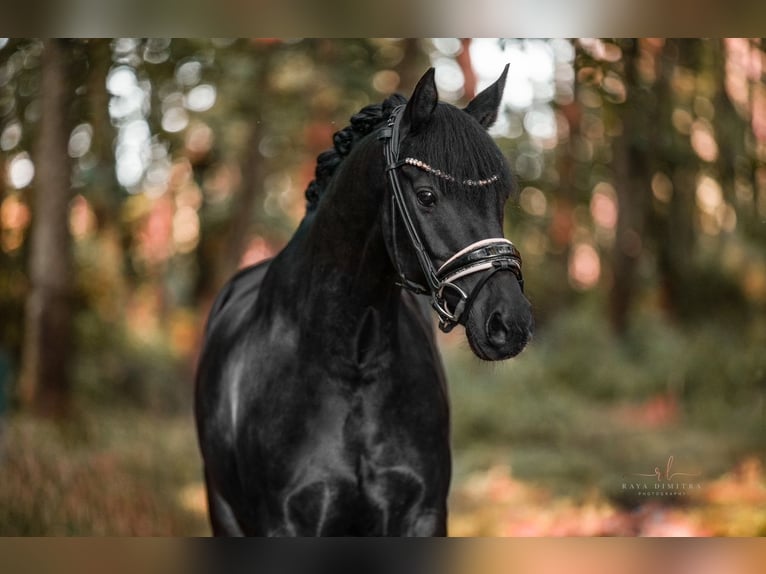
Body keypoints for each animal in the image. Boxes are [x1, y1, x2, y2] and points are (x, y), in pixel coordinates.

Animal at [196, 67, 536, 540]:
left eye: (501, 197)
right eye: (427, 195)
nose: (510, 322)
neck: (350, 366)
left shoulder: (423, 516)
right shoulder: (283, 525)